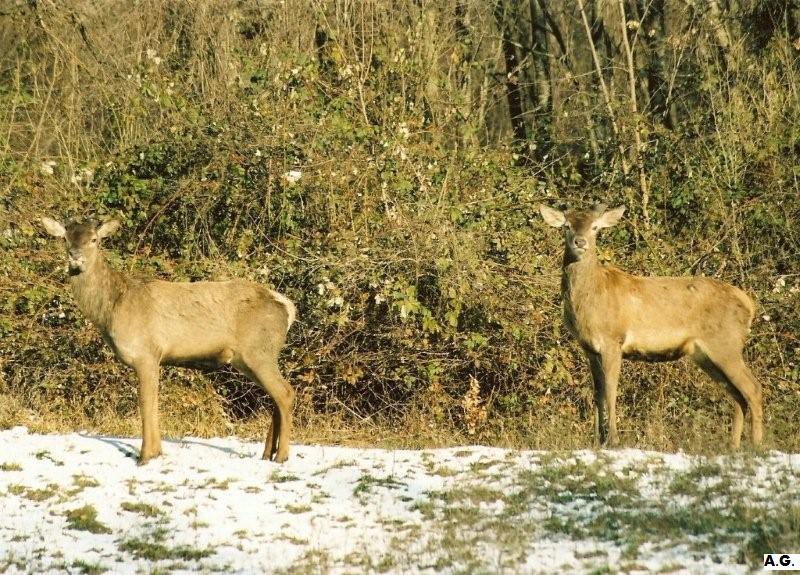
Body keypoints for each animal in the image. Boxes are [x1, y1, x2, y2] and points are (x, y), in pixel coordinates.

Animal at [41, 218, 296, 466]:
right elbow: (154, 402)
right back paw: (267, 454)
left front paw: (144, 456)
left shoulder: (146, 354)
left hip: (258, 351)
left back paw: (282, 456)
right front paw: (157, 453)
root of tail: (288, 307)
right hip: (250, 358)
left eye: (94, 239)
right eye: (65, 238)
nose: (75, 256)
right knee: (275, 396)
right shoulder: (155, 359)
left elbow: (145, 403)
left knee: (285, 393)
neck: (112, 308)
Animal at [536, 205, 764, 452]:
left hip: (726, 343)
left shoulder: (613, 340)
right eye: (567, 226)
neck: (588, 301)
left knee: (753, 388)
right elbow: (597, 392)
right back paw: (733, 446)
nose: (580, 242)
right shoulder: (588, 347)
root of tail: (749, 304)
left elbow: (611, 389)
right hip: (705, 354)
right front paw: (596, 440)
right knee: (737, 394)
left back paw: (757, 445)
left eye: (595, 227)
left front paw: (613, 440)